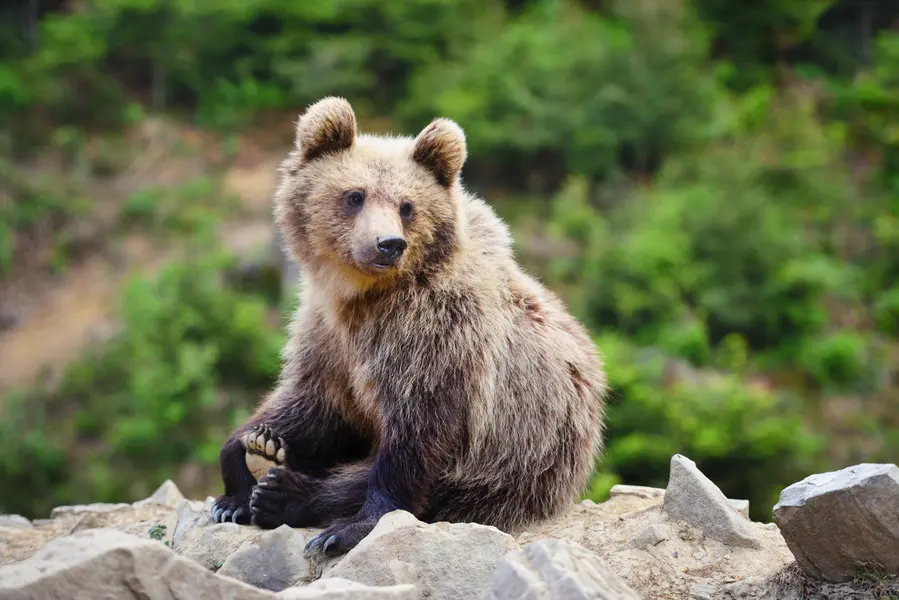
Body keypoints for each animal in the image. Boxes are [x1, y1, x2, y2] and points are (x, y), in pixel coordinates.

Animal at [210, 97, 608, 557]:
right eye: (354, 195)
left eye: (407, 206)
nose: (389, 244)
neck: (362, 297)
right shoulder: (326, 335)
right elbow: (314, 403)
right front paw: (247, 455)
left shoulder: (435, 336)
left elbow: (415, 434)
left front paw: (346, 527)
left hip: (519, 462)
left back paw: (285, 493)